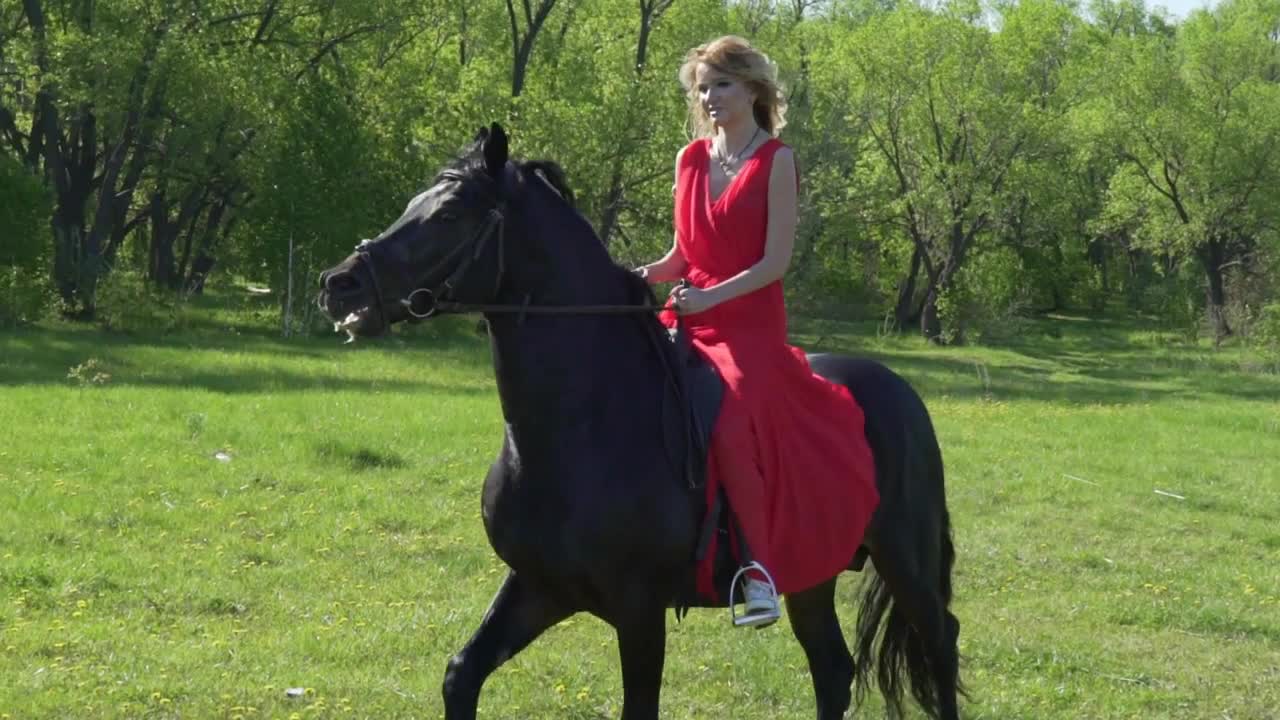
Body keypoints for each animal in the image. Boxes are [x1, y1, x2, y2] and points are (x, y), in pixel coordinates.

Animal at [317, 124, 962, 717]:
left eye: (450, 212)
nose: (338, 284)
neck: (585, 424)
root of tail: (900, 393)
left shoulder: (640, 611)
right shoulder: (538, 586)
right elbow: (461, 674)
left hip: (905, 561)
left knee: (940, 645)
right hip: (810, 572)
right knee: (832, 669)